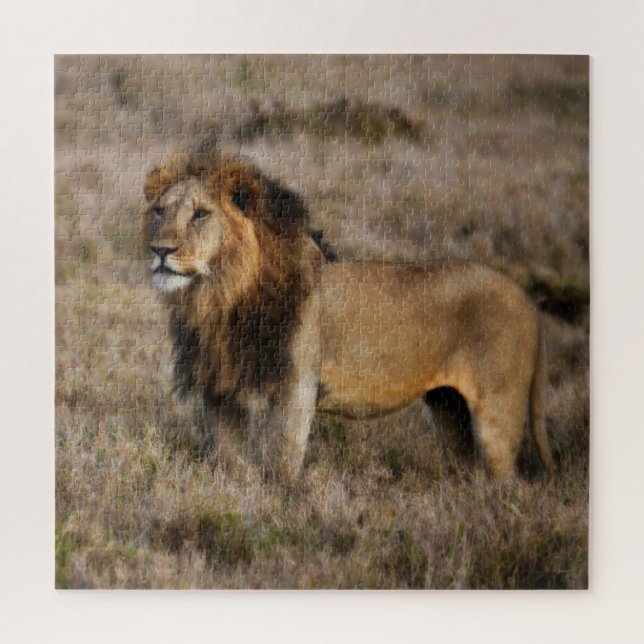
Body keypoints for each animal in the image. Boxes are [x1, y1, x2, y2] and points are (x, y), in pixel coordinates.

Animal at [143, 153, 555, 481]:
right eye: (160, 211)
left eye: (200, 214)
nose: (159, 250)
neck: (221, 295)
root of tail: (529, 302)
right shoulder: (220, 385)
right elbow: (229, 457)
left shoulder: (296, 383)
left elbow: (281, 456)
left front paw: (279, 499)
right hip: (449, 407)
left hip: (497, 411)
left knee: (508, 482)